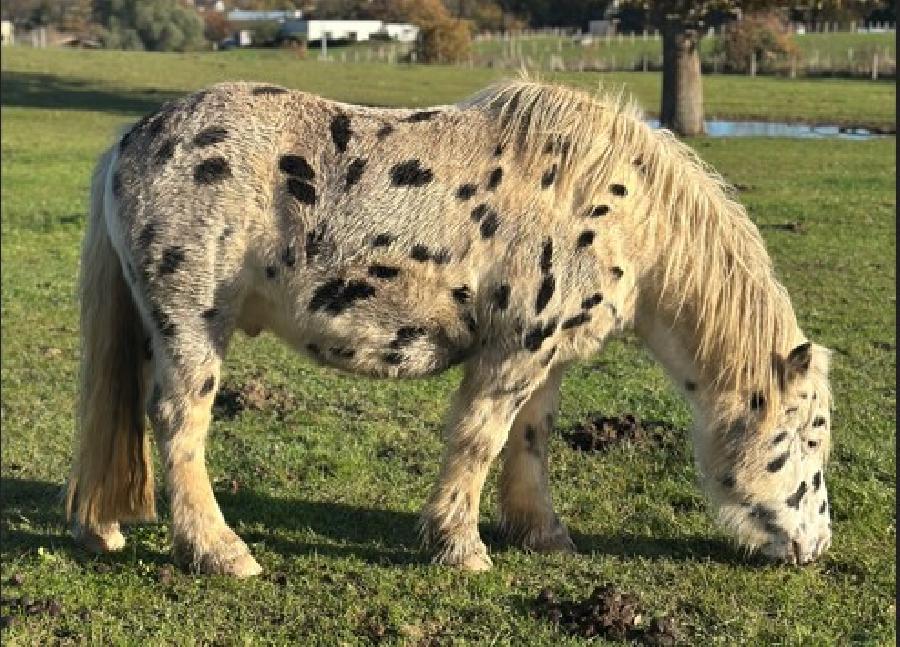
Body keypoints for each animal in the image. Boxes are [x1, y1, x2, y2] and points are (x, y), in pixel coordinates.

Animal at [66, 79, 833, 576]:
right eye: (804, 438)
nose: (817, 546)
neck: (622, 208)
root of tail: (132, 140)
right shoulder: (513, 351)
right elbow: (479, 439)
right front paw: (460, 548)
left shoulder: (547, 358)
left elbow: (530, 440)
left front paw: (541, 533)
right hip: (193, 324)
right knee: (178, 423)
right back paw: (219, 552)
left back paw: (104, 528)